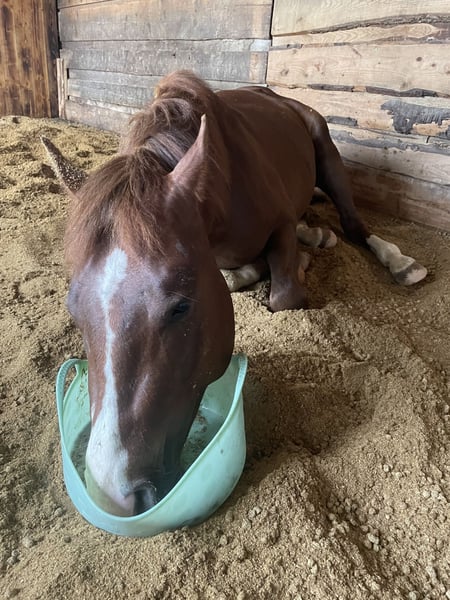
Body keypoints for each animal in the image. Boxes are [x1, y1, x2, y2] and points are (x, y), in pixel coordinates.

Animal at [42, 71, 427, 517]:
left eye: (180, 308)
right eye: (73, 311)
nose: (113, 493)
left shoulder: (278, 227)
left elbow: (284, 296)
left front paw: (298, 263)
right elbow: (236, 278)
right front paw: (274, 262)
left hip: (329, 157)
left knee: (352, 224)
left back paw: (397, 261)